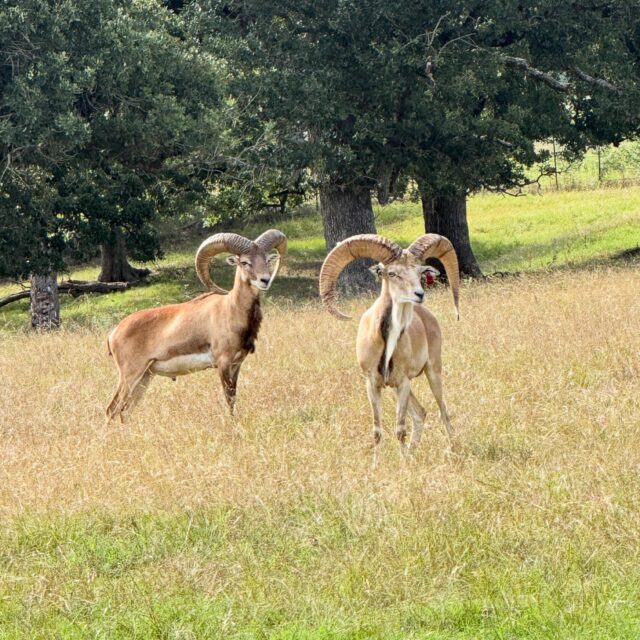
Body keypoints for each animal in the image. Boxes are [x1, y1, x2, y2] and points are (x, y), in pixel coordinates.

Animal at [105, 229, 287, 421]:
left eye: (267, 259)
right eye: (245, 262)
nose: (265, 280)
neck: (230, 310)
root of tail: (113, 334)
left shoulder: (236, 365)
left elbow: (234, 398)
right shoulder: (223, 363)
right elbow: (228, 398)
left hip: (144, 377)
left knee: (125, 411)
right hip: (130, 375)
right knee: (112, 409)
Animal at [319, 233, 460, 464]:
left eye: (420, 272)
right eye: (392, 273)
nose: (419, 294)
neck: (386, 343)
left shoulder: (402, 383)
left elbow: (399, 428)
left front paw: (403, 464)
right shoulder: (373, 385)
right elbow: (377, 430)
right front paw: (376, 465)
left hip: (432, 372)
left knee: (442, 411)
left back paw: (452, 448)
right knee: (420, 413)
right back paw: (412, 452)